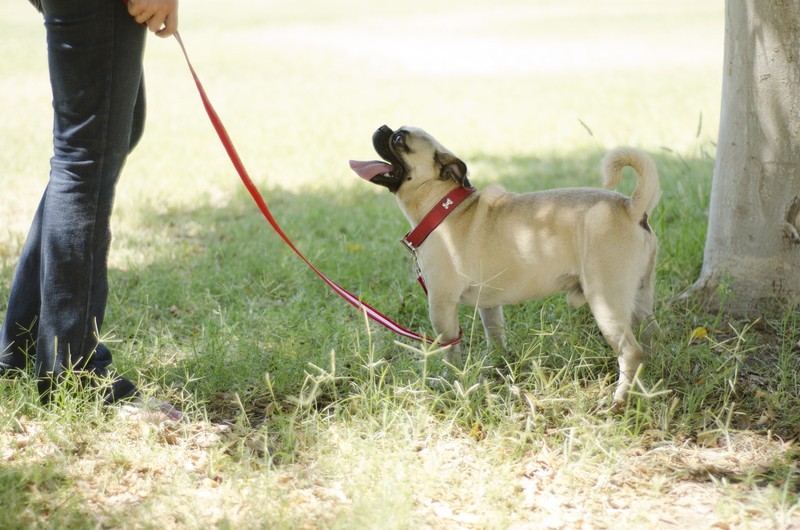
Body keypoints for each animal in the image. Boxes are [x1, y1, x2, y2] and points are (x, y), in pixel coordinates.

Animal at [350, 126, 664, 406]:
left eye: (399, 140)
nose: (382, 128)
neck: (442, 208)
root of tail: (631, 208)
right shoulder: (489, 306)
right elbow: (496, 337)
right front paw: (499, 366)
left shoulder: (441, 306)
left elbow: (450, 352)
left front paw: (453, 382)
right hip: (640, 297)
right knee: (650, 337)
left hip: (605, 302)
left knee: (630, 352)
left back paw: (619, 400)